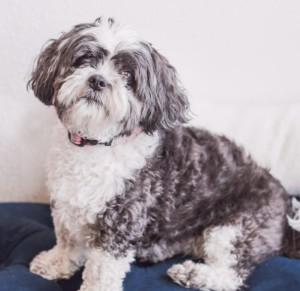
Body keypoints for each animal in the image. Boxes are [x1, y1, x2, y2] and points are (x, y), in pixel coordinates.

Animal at [28, 17, 298, 291]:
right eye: (84, 60)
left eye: (127, 75)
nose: (98, 80)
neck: (96, 145)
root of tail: (284, 204)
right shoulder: (66, 206)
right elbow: (67, 240)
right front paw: (56, 263)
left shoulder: (121, 220)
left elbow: (101, 270)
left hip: (238, 228)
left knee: (230, 274)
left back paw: (193, 274)